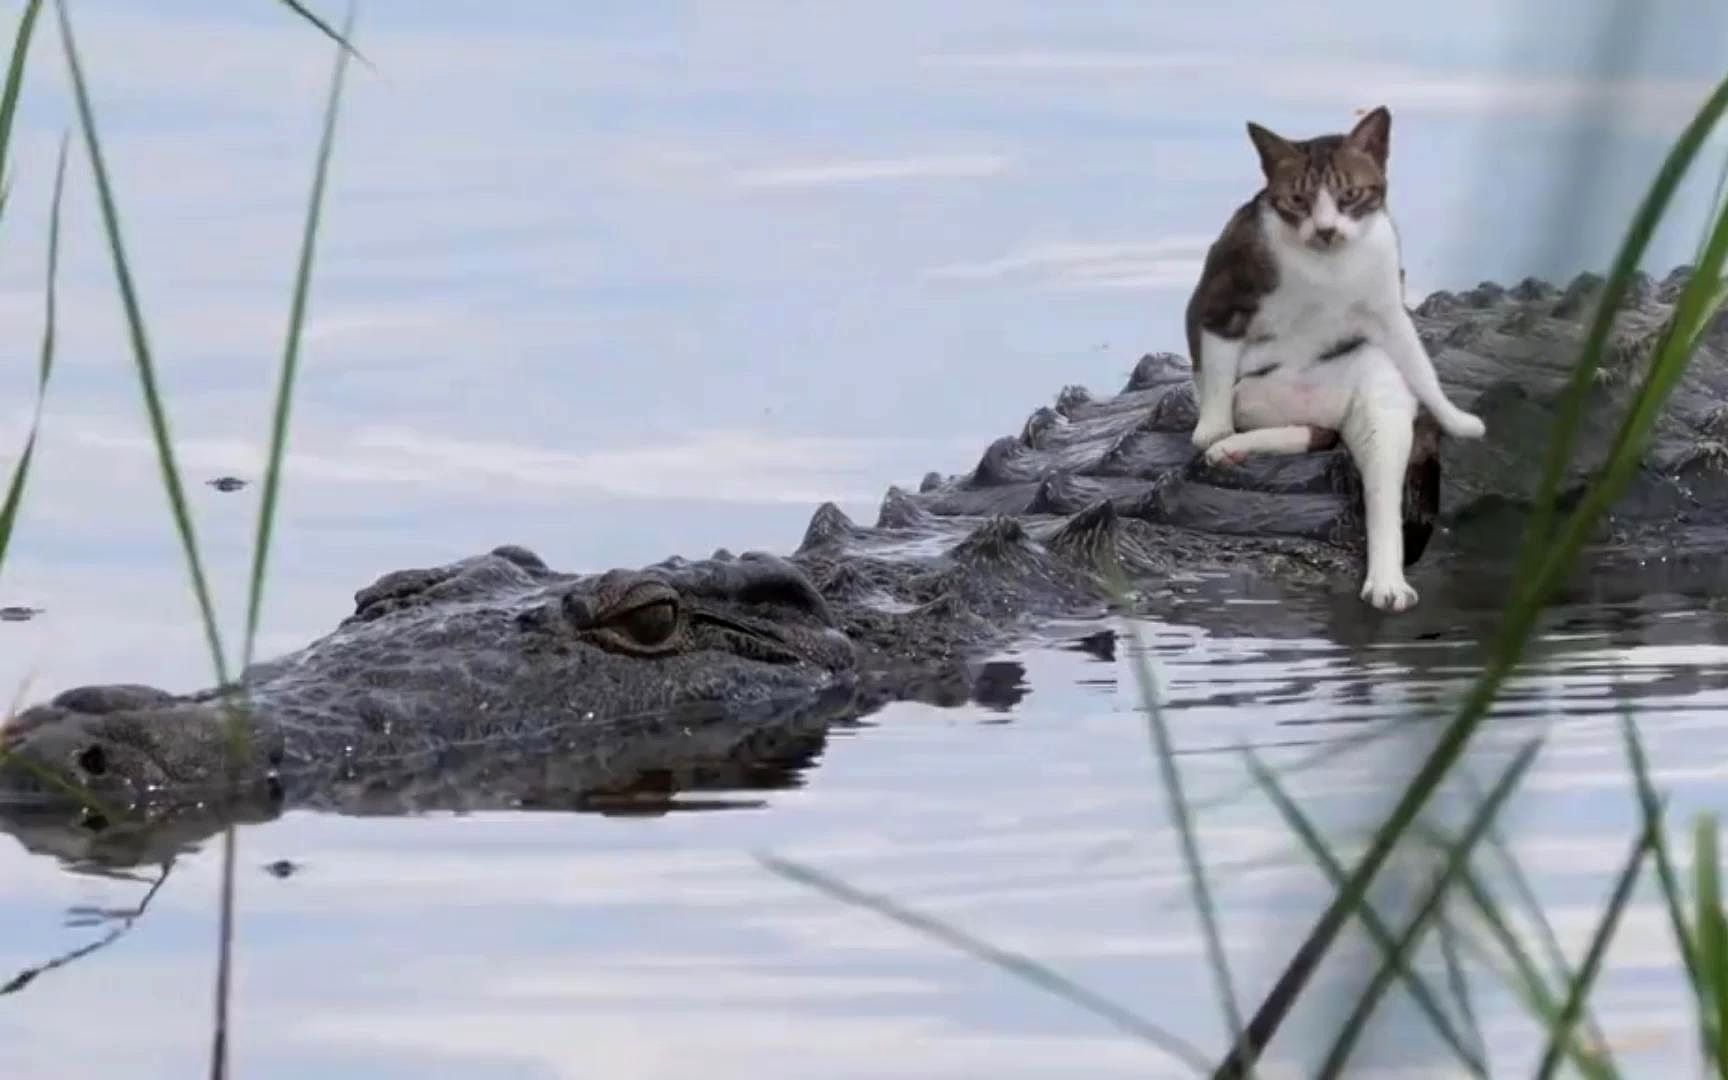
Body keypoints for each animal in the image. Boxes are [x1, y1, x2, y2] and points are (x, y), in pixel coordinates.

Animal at [1188, 107, 1486, 615]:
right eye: (1298, 199)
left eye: (1350, 195)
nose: (1327, 230)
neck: (1326, 268)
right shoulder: (1222, 297)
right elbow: (1216, 370)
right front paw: (1213, 429)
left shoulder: (1387, 307)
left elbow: (1420, 363)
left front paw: (1454, 417)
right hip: (1258, 392)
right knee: (1296, 424)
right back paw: (1230, 445)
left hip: (1373, 387)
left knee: (1373, 478)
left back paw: (1388, 582)